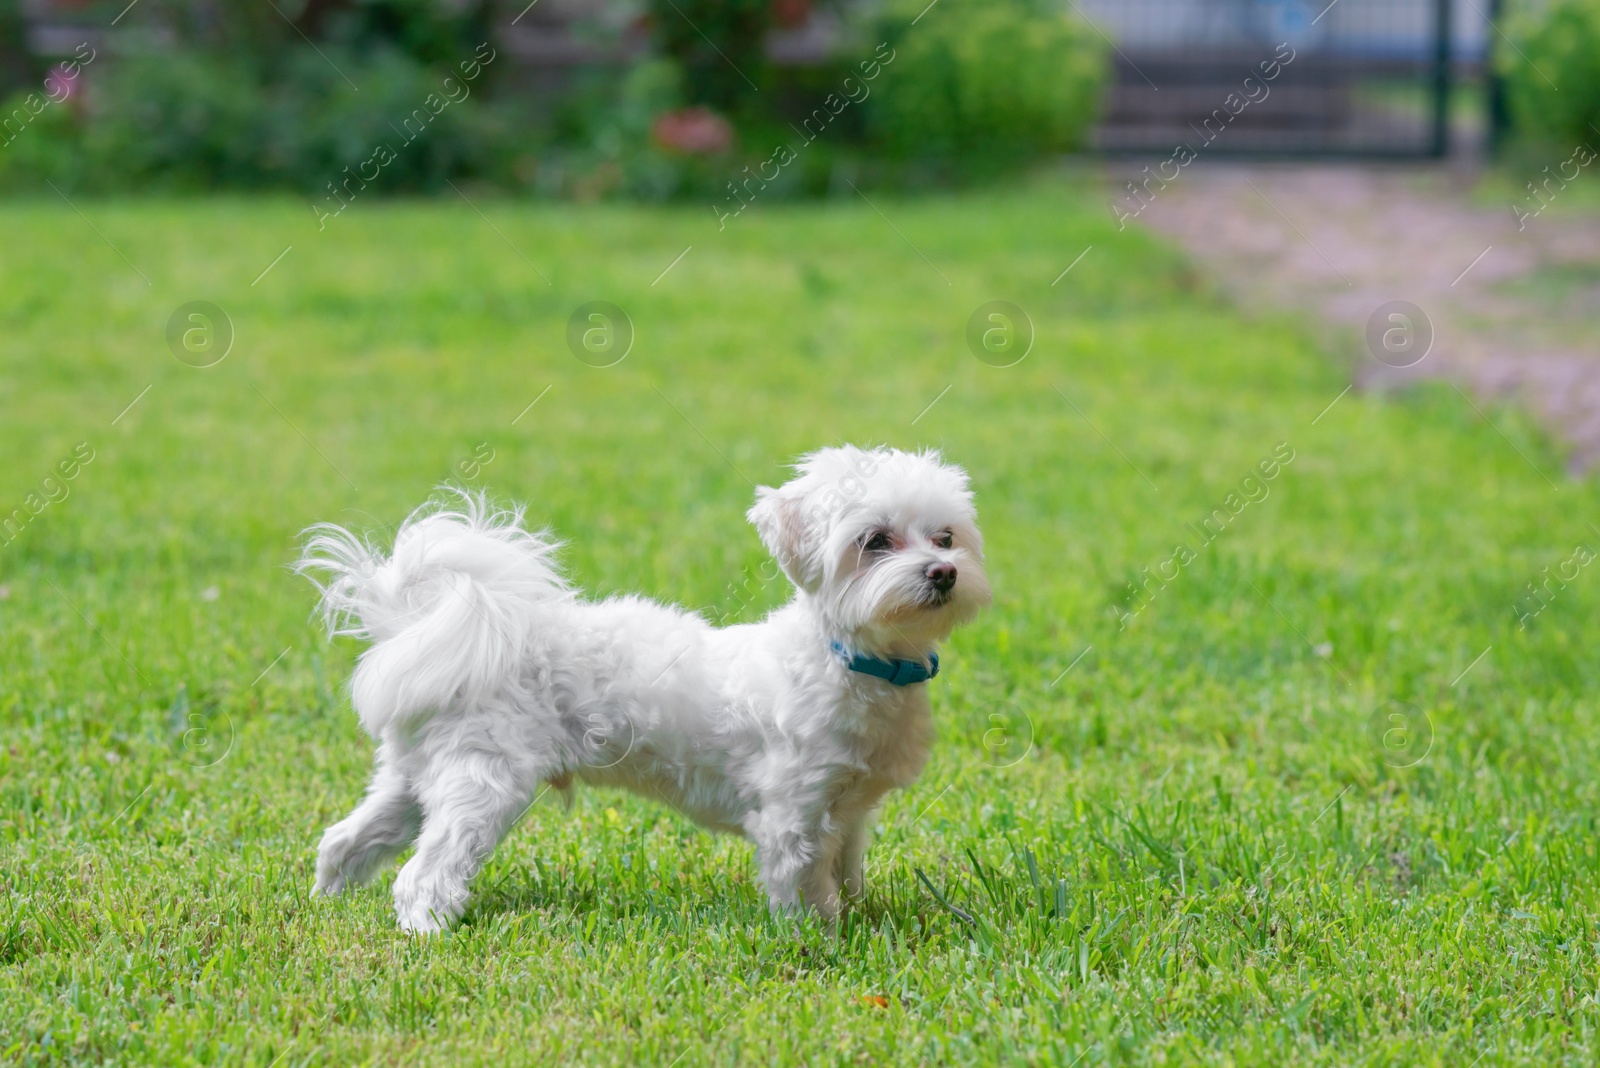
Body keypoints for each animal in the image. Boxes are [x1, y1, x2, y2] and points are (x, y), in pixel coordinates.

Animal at [292, 441, 979, 927]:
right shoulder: (794, 816)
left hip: (415, 778)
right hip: (482, 780)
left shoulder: (849, 810)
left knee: (345, 839)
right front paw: (823, 944)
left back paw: (326, 900)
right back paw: (428, 930)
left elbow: (849, 873)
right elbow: (807, 892)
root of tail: (422, 628)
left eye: (946, 537)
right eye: (874, 541)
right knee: (422, 874)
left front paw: (862, 921)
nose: (943, 572)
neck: (847, 659)